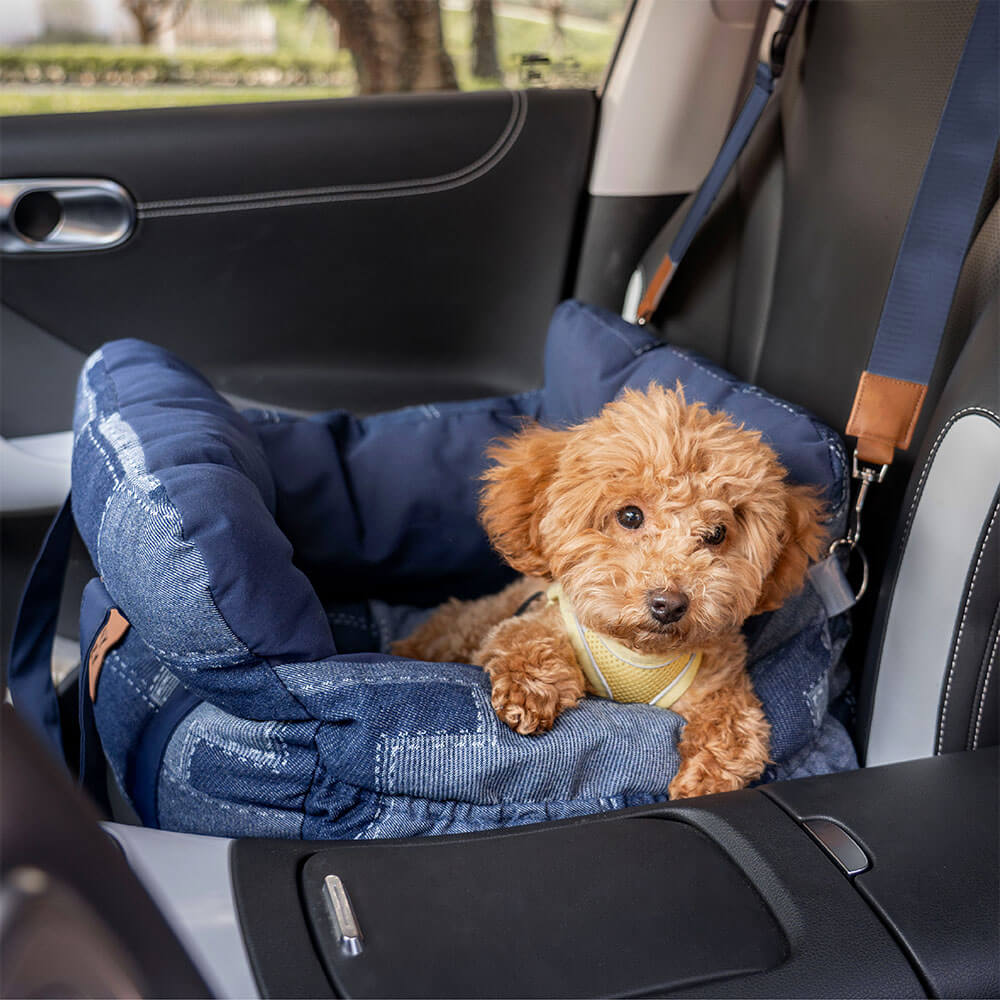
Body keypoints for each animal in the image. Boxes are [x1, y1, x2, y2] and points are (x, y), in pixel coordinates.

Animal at [392, 382, 828, 796]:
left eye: (718, 533)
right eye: (630, 515)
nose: (669, 604)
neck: (637, 651)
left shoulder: (718, 681)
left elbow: (735, 728)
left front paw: (707, 779)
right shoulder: (543, 619)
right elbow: (524, 638)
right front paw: (532, 690)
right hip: (478, 618)